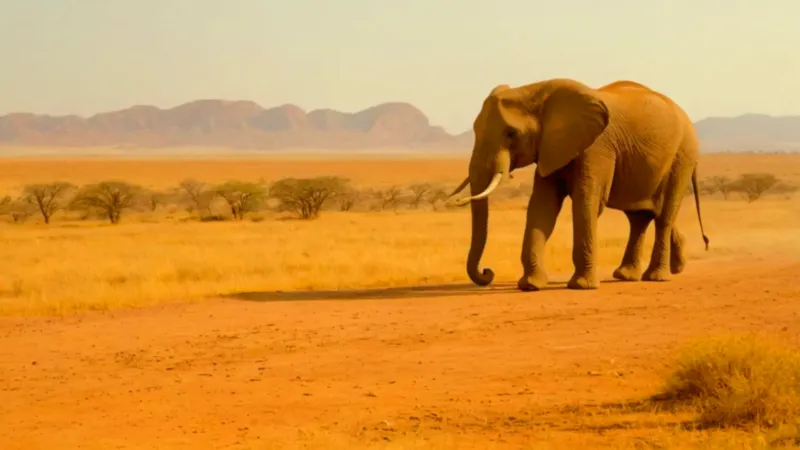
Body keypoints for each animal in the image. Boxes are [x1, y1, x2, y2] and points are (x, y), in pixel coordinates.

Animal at [449, 78, 710, 291]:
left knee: (663, 217)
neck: (537, 92)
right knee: (639, 217)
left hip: (682, 157)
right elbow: (542, 207)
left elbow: (587, 202)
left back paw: (656, 277)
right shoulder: (551, 146)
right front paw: (530, 285)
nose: (487, 272)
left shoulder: (596, 148)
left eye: (511, 133)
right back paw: (628, 276)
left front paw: (581, 286)